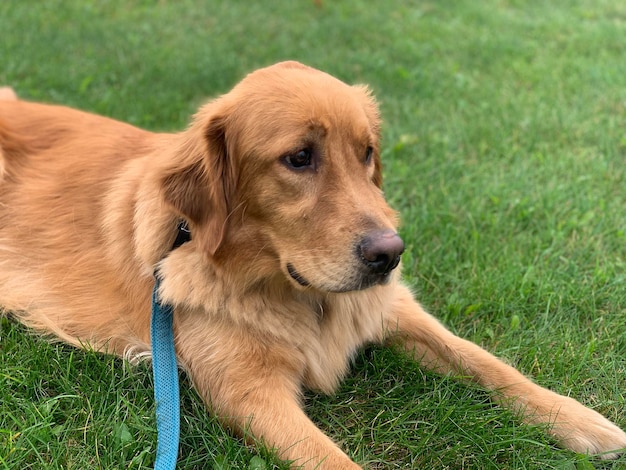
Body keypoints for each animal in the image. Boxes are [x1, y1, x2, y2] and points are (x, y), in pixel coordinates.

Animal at [0, 61, 620, 466]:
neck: (296, 291)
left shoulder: (390, 307)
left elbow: (486, 362)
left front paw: (579, 420)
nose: (390, 254)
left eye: (367, 152)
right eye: (299, 158)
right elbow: (331, 460)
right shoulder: (247, 391)